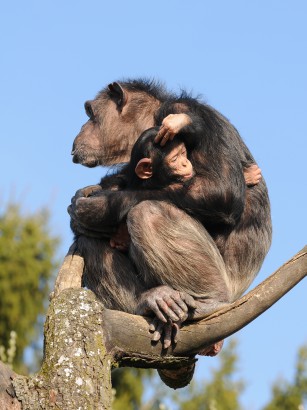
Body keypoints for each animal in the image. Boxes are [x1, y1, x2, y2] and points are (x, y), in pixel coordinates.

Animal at [69, 79, 272, 352]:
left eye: (91, 113)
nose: (83, 126)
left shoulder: (184, 112)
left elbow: (222, 191)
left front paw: (100, 206)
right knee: (89, 241)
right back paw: (152, 299)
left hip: (227, 284)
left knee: (148, 213)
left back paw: (209, 301)